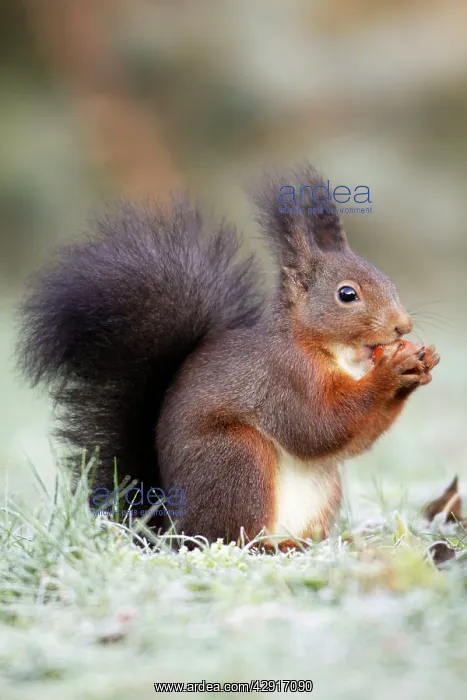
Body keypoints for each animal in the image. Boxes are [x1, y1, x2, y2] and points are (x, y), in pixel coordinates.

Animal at [18, 164, 440, 547]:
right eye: (347, 294)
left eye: (388, 280)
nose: (402, 326)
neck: (336, 354)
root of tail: (168, 527)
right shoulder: (282, 378)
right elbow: (318, 426)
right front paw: (392, 371)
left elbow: (353, 439)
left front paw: (421, 365)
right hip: (237, 460)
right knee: (229, 537)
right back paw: (270, 548)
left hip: (322, 485)